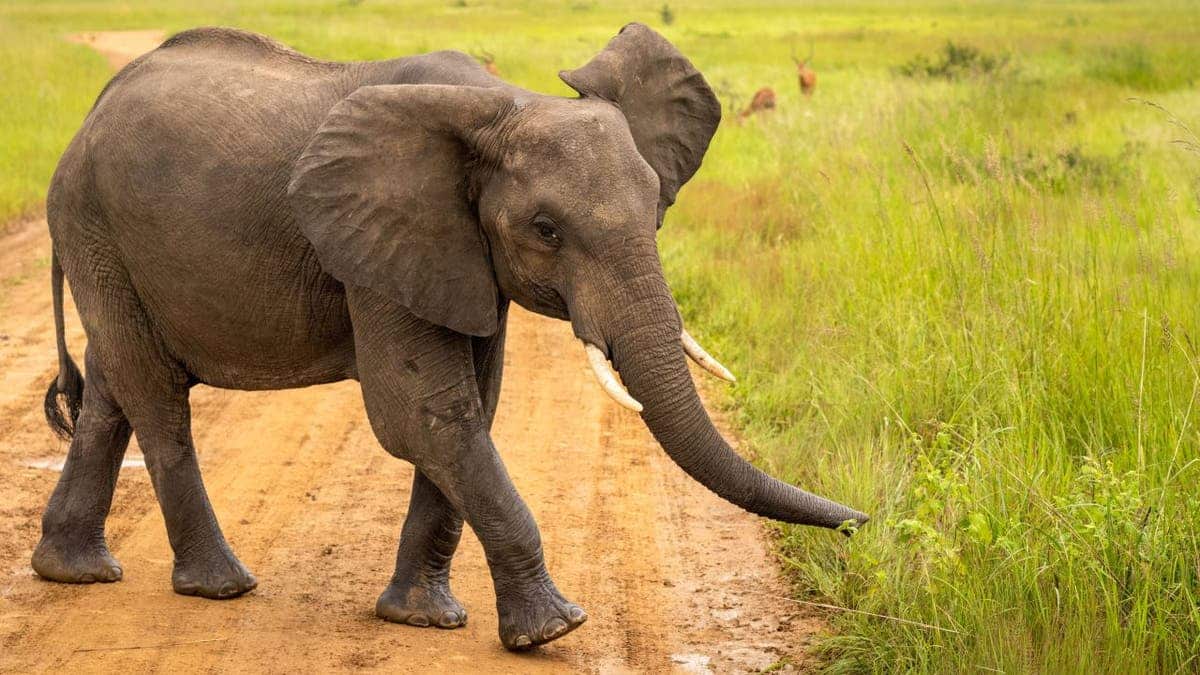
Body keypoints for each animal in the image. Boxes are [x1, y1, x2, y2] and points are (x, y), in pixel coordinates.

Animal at [33, 23, 868, 650]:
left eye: (657, 204)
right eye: (545, 229)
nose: (862, 524)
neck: (501, 106)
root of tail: (91, 113)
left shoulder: (456, 254)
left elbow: (472, 408)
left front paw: (421, 618)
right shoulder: (379, 240)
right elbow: (424, 414)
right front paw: (552, 631)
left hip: (104, 239)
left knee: (112, 392)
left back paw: (71, 571)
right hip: (91, 221)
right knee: (155, 396)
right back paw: (220, 586)